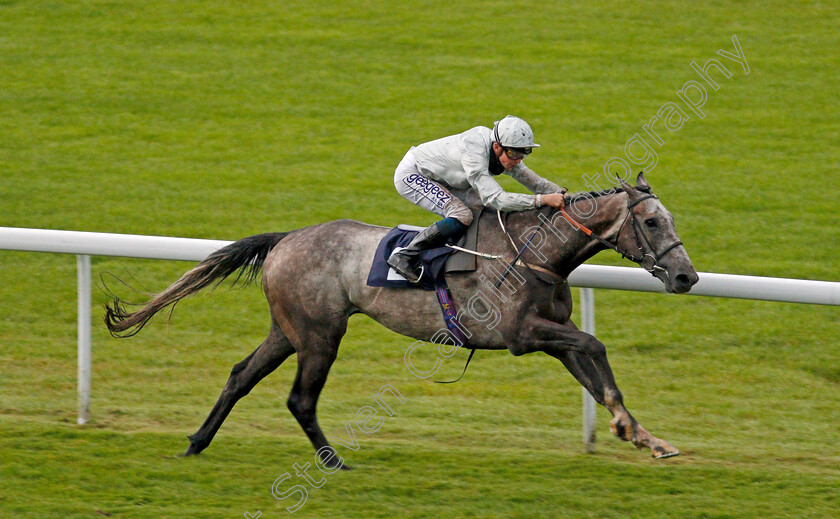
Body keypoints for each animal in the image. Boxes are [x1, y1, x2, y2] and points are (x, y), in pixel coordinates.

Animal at [103, 173, 696, 466]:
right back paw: (332, 461)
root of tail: (287, 239)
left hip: (288, 330)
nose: (687, 276)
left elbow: (595, 372)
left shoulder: (550, 337)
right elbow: (594, 346)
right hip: (320, 334)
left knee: (239, 376)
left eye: (669, 219)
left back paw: (196, 443)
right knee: (300, 399)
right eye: (650, 221)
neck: (534, 252)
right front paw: (631, 430)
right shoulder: (520, 335)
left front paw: (643, 436)